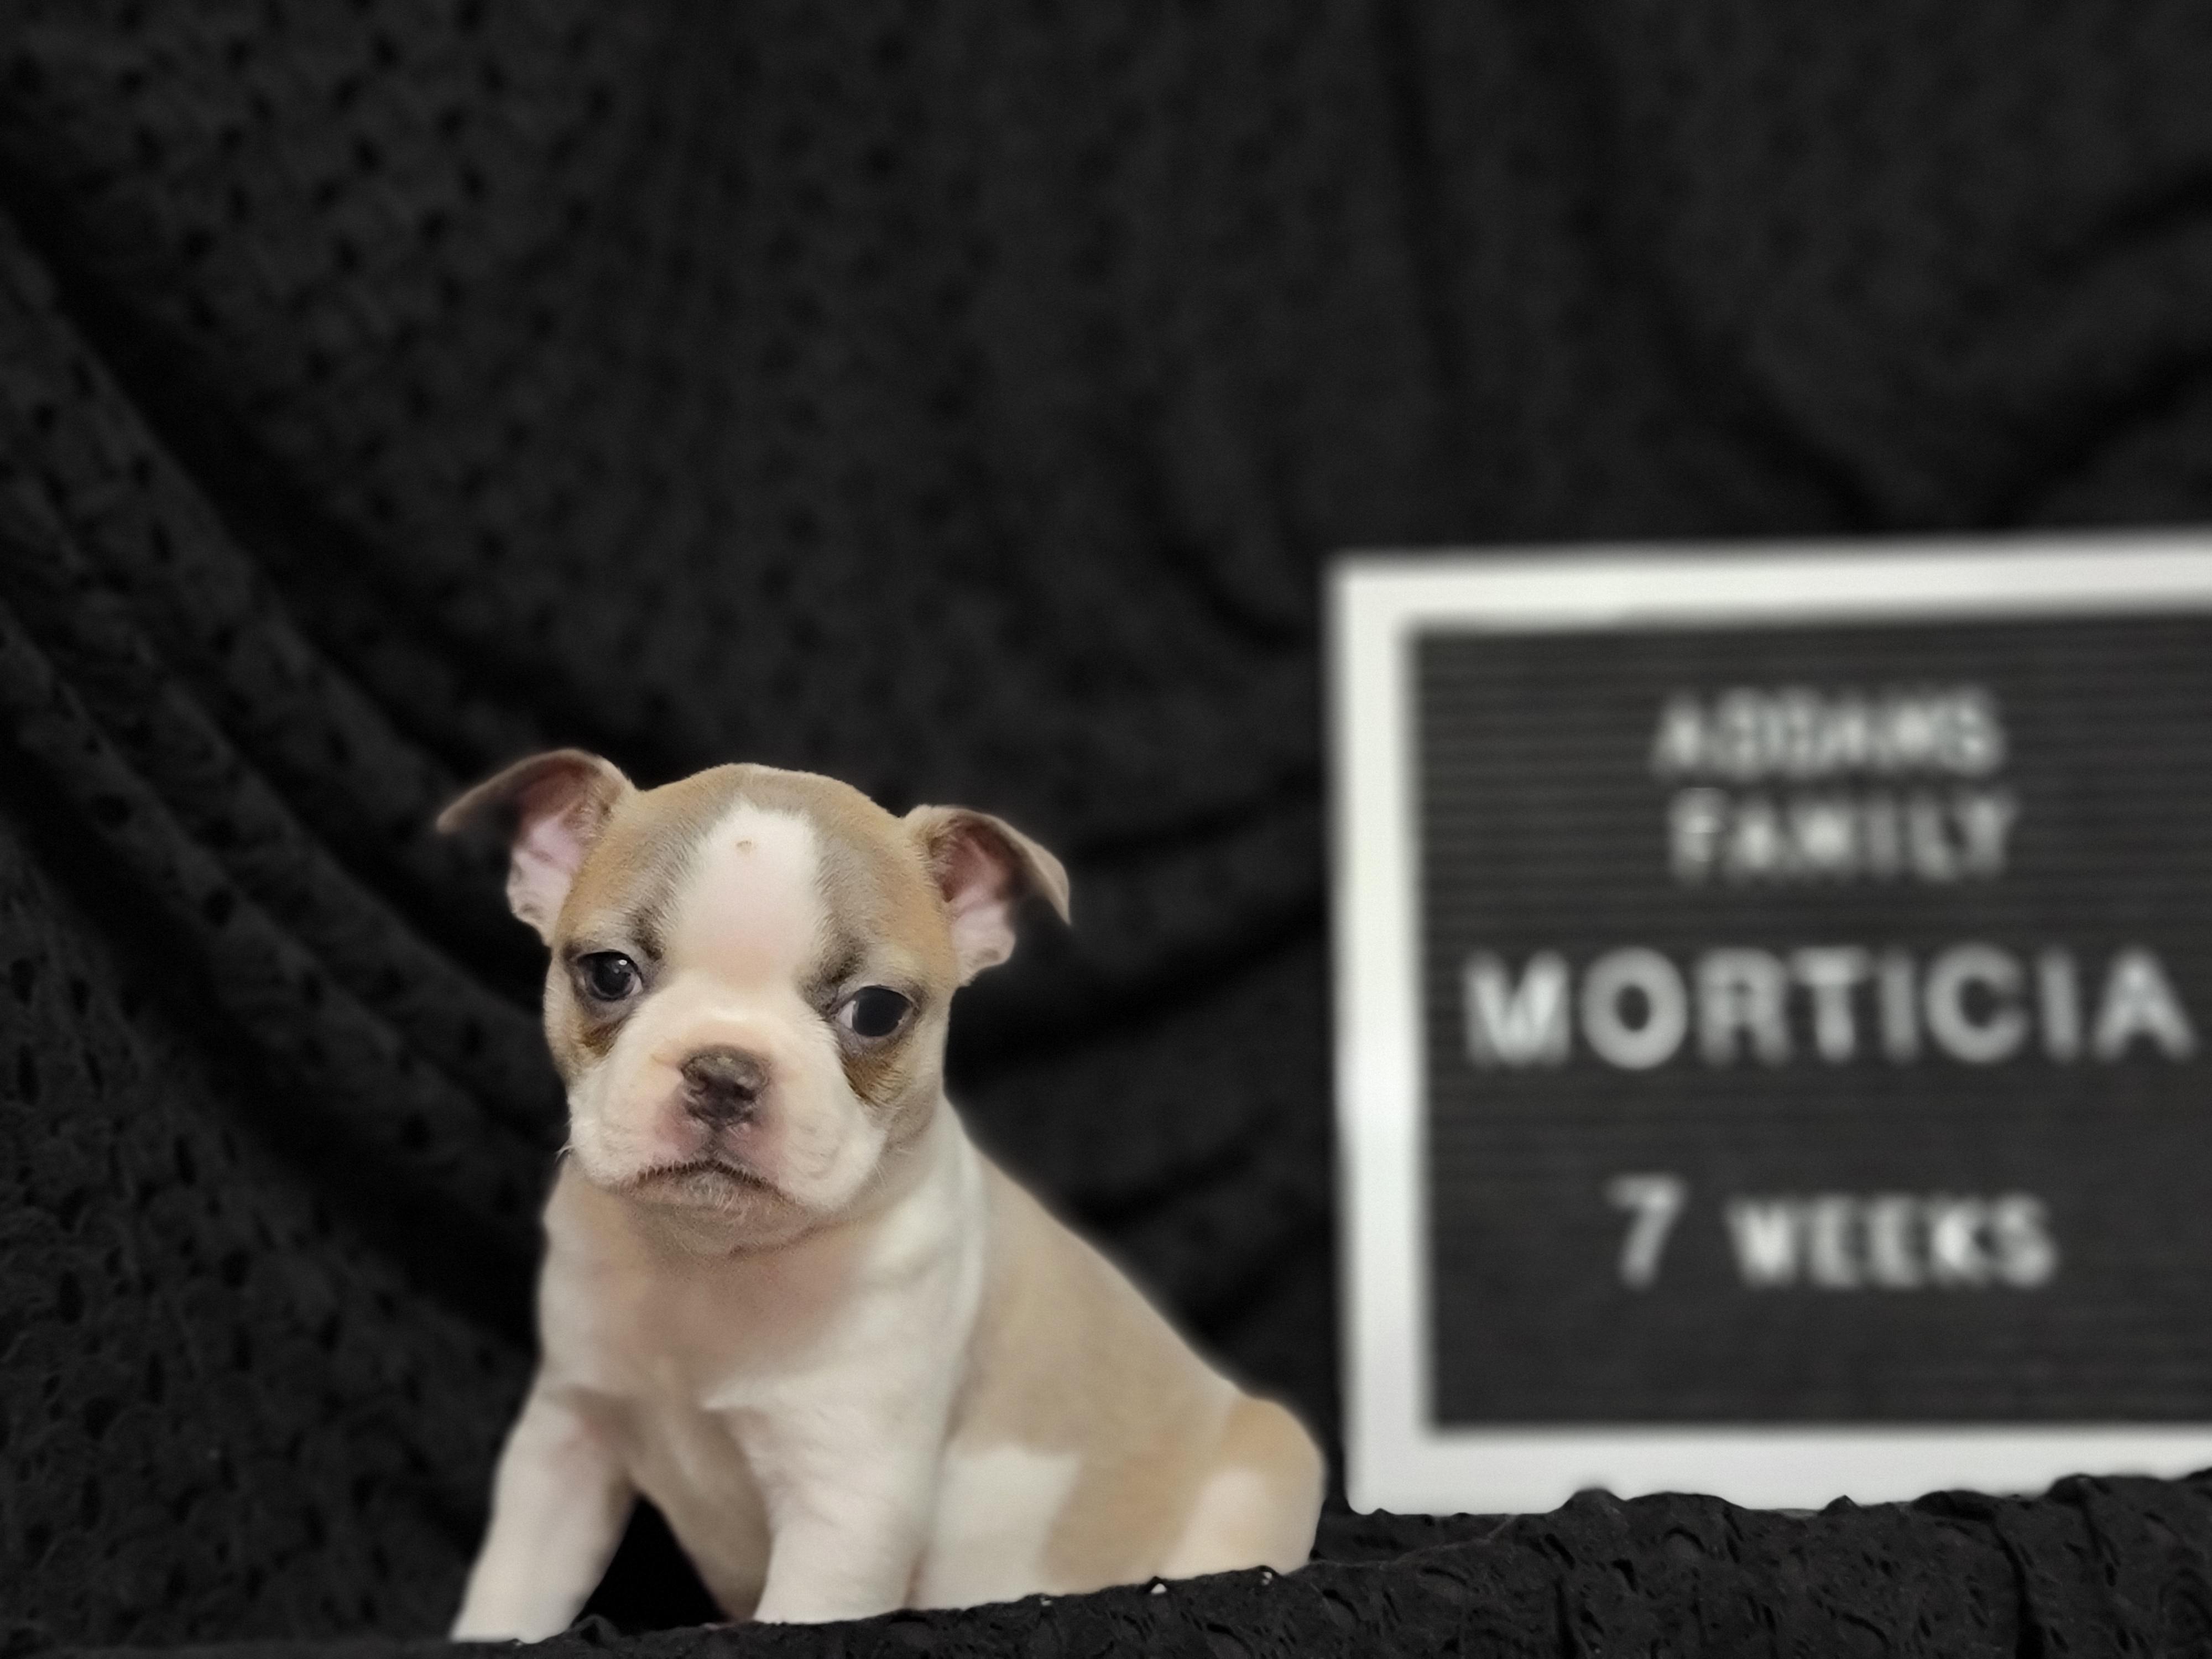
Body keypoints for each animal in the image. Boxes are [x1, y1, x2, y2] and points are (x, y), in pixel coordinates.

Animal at [439, 752, 1324, 1635]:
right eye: (608, 973)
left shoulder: (846, 1509)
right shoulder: (566, 1447)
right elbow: (513, 1591)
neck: (715, 1260)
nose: (725, 1070)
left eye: (876, 1011)